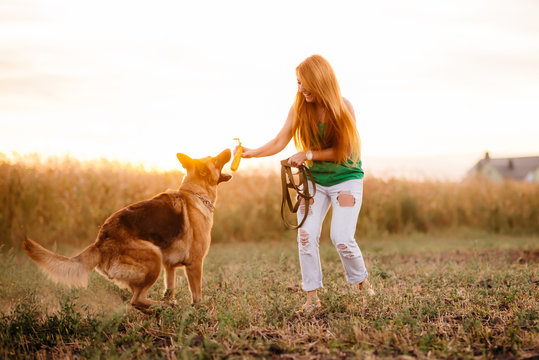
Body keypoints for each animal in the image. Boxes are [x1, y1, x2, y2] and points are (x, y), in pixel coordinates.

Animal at [22, 148, 232, 310]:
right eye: (214, 159)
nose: (230, 149)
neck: (195, 194)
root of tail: (100, 242)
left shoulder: (169, 266)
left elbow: (169, 289)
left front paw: (172, 303)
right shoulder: (195, 264)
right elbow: (197, 294)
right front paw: (199, 310)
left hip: (154, 262)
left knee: (138, 299)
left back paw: (162, 307)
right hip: (154, 256)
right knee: (136, 300)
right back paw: (161, 307)